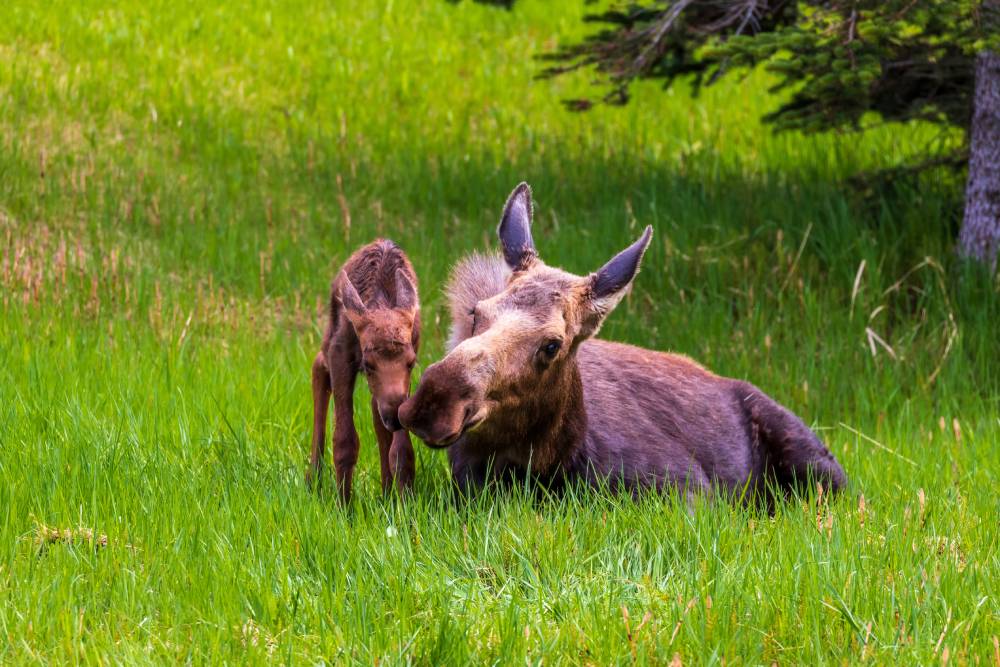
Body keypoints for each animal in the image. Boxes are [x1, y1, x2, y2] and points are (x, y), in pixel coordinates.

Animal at [398, 183, 844, 500]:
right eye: (477, 312)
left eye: (552, 345)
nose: (435, 400)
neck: (551, 461)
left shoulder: (688, 488)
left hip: (819, 466)